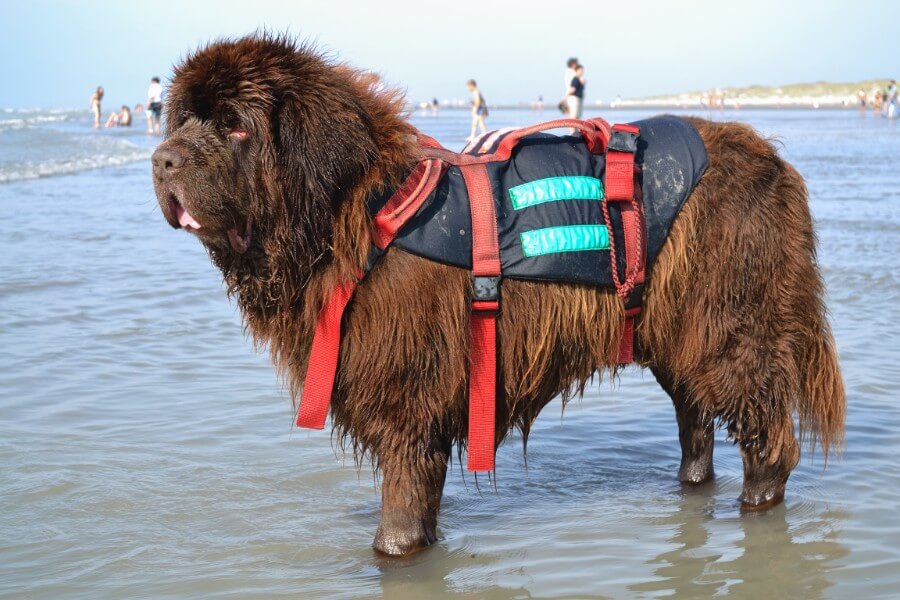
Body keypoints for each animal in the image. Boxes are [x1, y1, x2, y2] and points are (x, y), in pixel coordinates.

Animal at [151, 35, 848, 556]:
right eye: (181, 120)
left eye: (235, 127)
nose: (162, 160)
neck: (357, 211)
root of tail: (775, 163)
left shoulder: (407, 399)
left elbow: (400, 514)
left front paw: (394, 552)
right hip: (675, 331)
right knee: (696, 422)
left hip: (729, 328)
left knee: (768, 431)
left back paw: (757, 502)